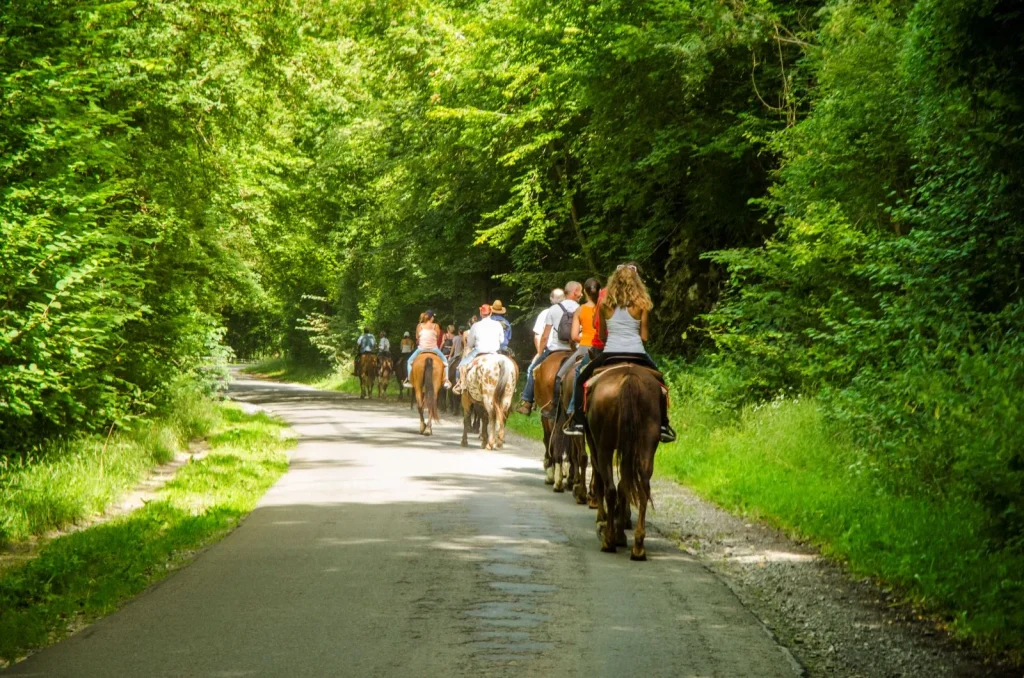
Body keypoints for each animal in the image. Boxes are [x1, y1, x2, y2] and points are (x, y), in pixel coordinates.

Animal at [585, 366, 663, 561]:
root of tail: (629, 376)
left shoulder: (593, 443)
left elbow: (602, 481)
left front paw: (602, 519)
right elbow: (625, 487)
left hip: (604, 447)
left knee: (610, 489)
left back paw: (609, 540)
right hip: (647, 444)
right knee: (642, 488)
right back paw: (638, 546)